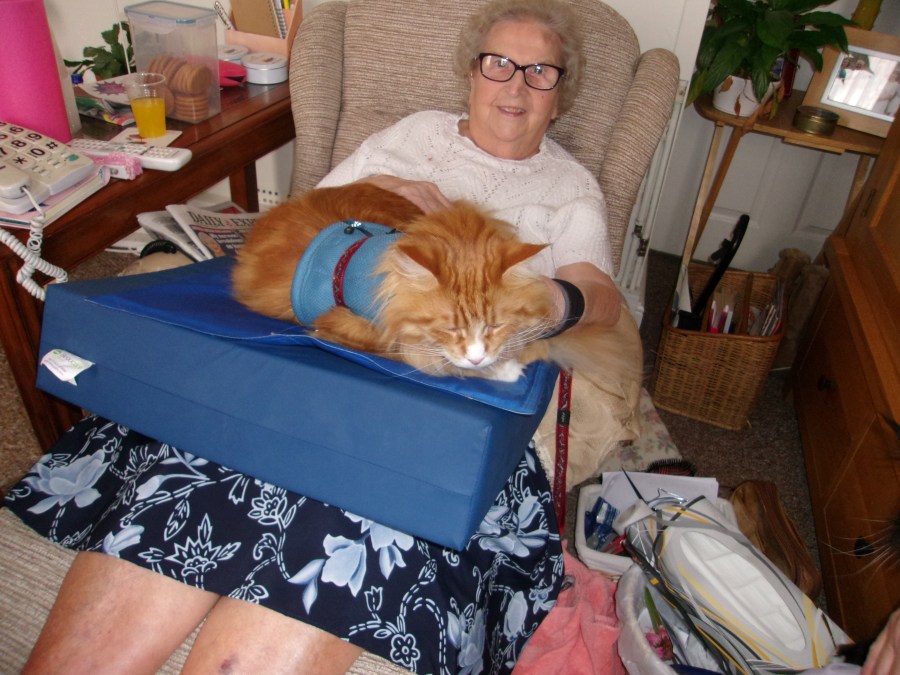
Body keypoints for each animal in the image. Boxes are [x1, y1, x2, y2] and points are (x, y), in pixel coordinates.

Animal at [232, 182, 642, 383]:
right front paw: (499, 369)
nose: (479, 355)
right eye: (450, 328)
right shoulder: (353, 327)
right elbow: (430, 357)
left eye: (495, 324)